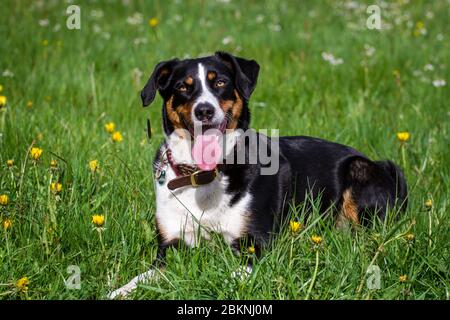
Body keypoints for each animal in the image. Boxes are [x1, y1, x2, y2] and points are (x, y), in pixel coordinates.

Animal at [109, 51, 408, 298]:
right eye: (183, 86)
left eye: (220, 83)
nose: (204, 110)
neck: (204, 178)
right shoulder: (170, 246)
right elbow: (141, 278)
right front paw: (119, 291)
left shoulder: (254, 245)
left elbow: (228, 277)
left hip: (360, 171)